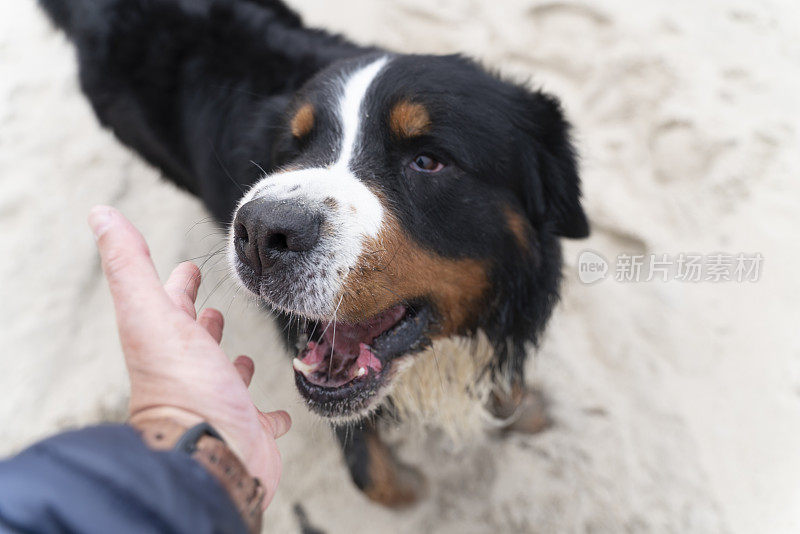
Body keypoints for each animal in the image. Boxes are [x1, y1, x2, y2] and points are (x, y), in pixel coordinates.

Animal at [39, 0, 588, 508]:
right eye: (292, 150)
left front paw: (523, 407)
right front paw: (411, 486)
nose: (261, 232)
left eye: (428, 161)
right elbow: (375, 477)